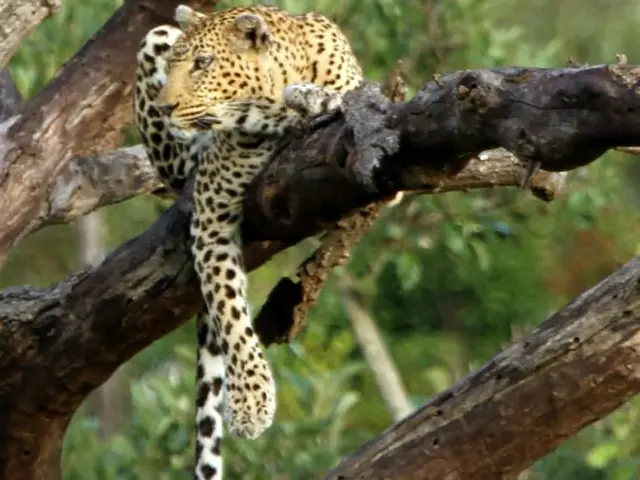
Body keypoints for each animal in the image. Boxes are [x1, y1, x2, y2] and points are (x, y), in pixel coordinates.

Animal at [134, 4, 364, 479]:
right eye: (175, 66)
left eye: (203, 64)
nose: (165, 107)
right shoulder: (210, 220)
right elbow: (232, 316)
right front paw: (253, 402)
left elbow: (341, 98)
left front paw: (310, 97)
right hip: (156, 40)